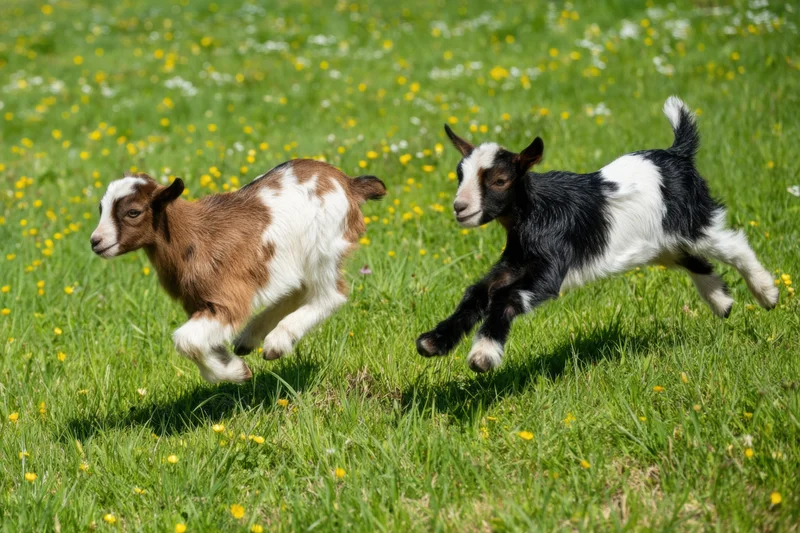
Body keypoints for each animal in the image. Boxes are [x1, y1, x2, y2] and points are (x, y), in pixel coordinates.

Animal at [90, 160, 386, 383]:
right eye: (101, 208)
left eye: (133, 212)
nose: (95, 241)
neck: (195, 238)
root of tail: (348, 182)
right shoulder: (200, 304)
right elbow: (197, 342)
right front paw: (228, 363)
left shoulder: (227, 299)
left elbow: (186, 341)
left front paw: (236, 373)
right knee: (298, 290)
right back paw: (248, 339)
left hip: (324, 247)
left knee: (329, 295)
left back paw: (277, 342)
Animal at [416, 96, 778, 373]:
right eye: (459, 175)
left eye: (500, 181)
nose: (460, 207)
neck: (535, 212)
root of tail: (676, 154)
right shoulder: (516, 262)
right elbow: (478, 292)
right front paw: (432, 342)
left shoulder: (551, 268)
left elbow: (508, 297)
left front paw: (483, 355)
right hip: (660, 243)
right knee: (695, 260)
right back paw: (722, 302)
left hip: (693, 222)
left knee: (733, 243)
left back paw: (766, 294)